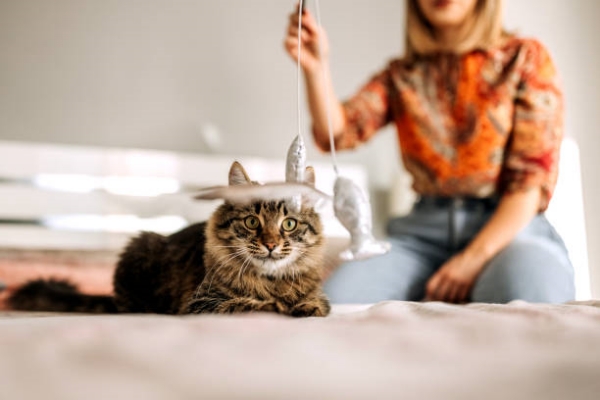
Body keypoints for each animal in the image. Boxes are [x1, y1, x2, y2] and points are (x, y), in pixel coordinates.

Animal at [7, 161, 330, 318]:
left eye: (289, 224)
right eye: (252, 222)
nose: (271, 244)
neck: (271, 282)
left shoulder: (319, 294)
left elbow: (318, 303)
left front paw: (306, 307)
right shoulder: (203, 303)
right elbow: (250, 303)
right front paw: (278, 306)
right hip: (140, 245)